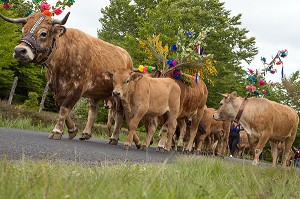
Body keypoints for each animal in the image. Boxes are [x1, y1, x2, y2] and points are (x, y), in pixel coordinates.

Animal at [0, 12, 132, 140]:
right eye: (23, 31)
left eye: (43, 33)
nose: (19, 51)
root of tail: (127, 56)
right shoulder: (54, 89)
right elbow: (60, 107)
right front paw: (72, 129)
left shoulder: (77, 88)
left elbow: (64, 108)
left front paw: (57, 131)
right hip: (95, 92)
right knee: (93, 110)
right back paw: (86, 133)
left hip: (120, 95)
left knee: (119, 114)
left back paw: (114, 137)